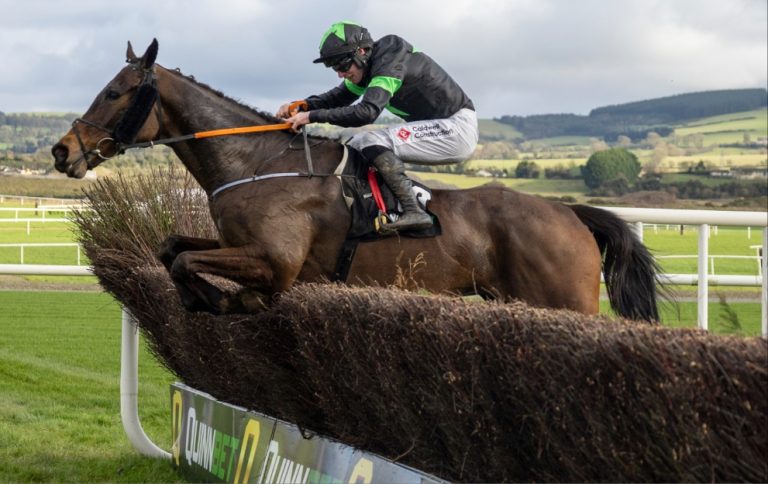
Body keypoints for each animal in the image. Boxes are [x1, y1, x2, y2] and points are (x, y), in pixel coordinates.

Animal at [52, 39, 660, 322]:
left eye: (113, 92)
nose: (63, 152)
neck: (256, 161)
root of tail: (569, 211)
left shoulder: (275, 260)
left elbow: (186, 263)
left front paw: (223, 300)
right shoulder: (234, 243)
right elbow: (170, 248)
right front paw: (207, 297)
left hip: (566, 302)